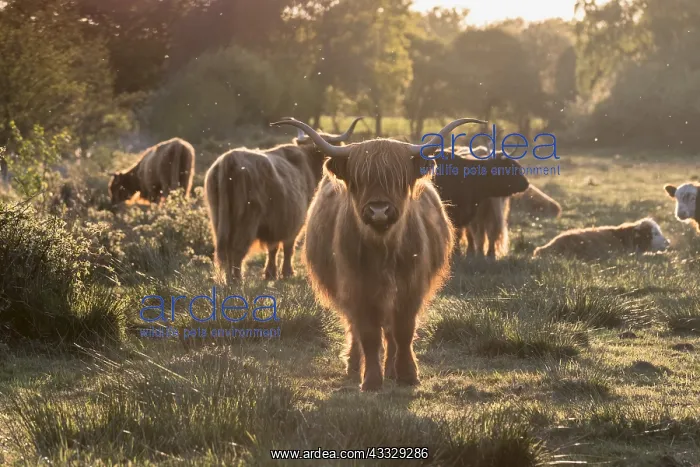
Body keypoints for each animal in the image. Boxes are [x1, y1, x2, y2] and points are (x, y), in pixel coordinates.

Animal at [205, 118, 363, 283]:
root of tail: (229, 159)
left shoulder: (275, 224)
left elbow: (273, 248)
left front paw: (270, 273)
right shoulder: (296, 221)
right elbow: (288, 247)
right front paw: (287, 272)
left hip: (218, 220)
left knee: (225, 250)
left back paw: (228, 279)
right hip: (247, 220)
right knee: (236, 249)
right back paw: (236, 280)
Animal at [269, 117, 487, 391]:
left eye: (398, 179)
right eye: (359, 180)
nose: (379, 211)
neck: (384, 250)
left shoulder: (410, 287)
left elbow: (403, 330)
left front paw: (407, 374)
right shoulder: (357, 288)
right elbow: (368, 333)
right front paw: (371, 379)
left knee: (390, 331)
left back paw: (391, 369)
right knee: (355, 327)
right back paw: (354, 365)